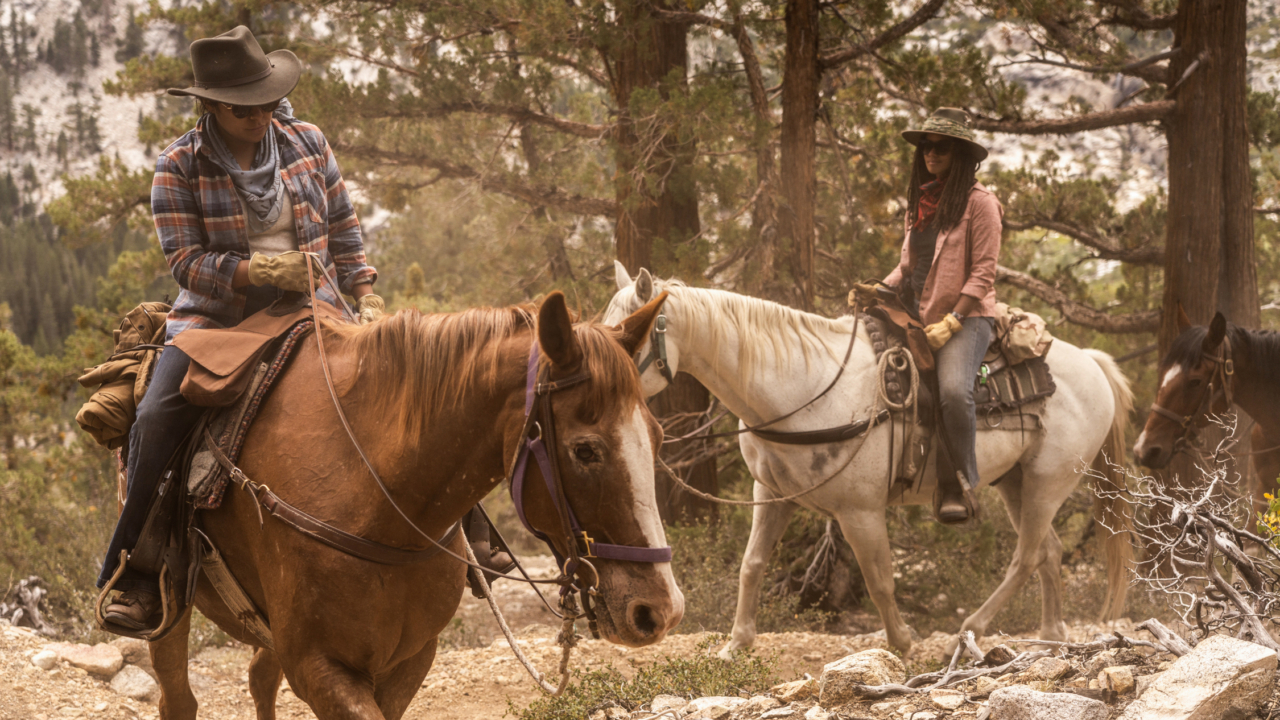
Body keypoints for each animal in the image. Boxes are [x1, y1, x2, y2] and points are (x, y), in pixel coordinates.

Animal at [145, 292, 686, 717]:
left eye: (657, 438)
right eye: (585, 450)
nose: (660, 610)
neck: (377, 498)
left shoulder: (410, 661)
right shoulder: (321, 669)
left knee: (259, 677)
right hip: (170, 610)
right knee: (179, 698)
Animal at [604, 263, 1136, 650]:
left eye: (630, 331)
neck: (804, 385)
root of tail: (1091, 362)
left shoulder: (859, 511)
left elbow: (879, 579)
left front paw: (902, 644)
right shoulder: (772, 494)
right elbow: (751, 565)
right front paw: (736, 646)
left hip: (1049, 481)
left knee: (1026, 556)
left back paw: (971, 628)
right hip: (1015, 482)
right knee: (1048, 552)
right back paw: (1050, 636)